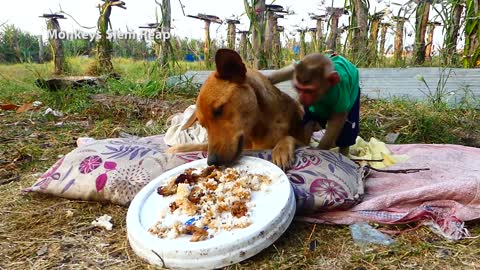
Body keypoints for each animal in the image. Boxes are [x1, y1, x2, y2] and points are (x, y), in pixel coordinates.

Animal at [167, 48, 314, 169]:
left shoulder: (304, 142)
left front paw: (281, 150)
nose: (211, 162)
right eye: (203, 125)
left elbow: (289, 137)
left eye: (219, 110)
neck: (260, 128)